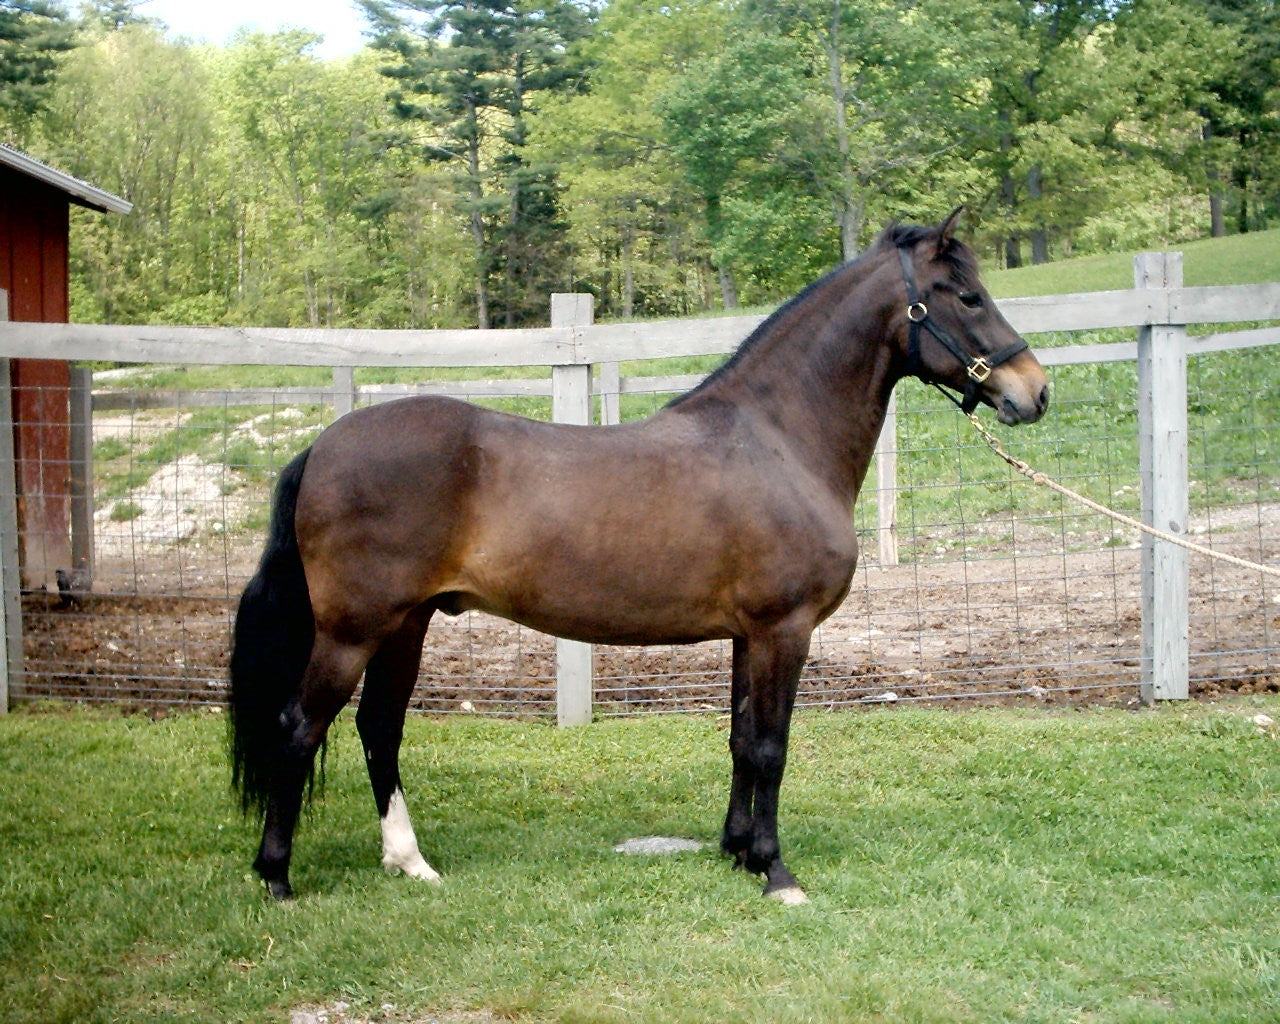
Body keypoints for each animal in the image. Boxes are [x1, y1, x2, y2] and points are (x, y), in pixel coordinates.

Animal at [230, 207, 1049, 906]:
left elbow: (741, 739)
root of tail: (321, 447)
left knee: (379, 729)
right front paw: (776, 872)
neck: (778, 437)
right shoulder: (784, 629)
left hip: (408, 623)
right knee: (299, 727)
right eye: (968, 296)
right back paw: (276, 876)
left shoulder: (748, 635)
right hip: (355, 630)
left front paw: (737, 850)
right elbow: (772, 746)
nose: (1035, 391)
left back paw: (410, 862)